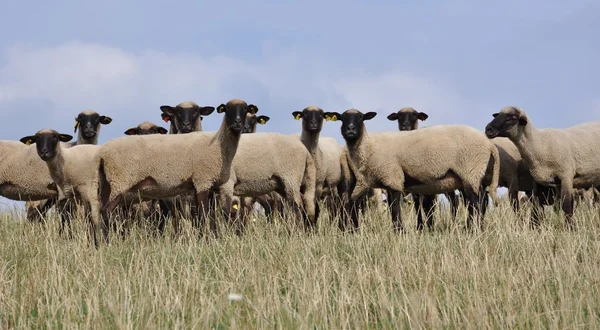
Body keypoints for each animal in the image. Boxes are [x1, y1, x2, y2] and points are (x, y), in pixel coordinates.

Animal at [95, 98, 255, 240]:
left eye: (245, 109)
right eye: (227, 109)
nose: (238, 123)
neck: (218, 144)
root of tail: (103, 153)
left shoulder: (204, 187)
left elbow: (207, 216)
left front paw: (210, 238)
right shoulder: (202, 181)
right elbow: (203, 215)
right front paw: (206, 240)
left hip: (108, 184)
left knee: (99, 210)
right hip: (120, 182)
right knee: (106, 211)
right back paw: (107, 241)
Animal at [326, 109, 500, 231]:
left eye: (361, 118)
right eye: (341, 118)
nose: (350, 129)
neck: (368, 147)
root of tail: (489, 144)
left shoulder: (393, 177)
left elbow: (395, 208)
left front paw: (399, 231)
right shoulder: (376, 182)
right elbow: (358, 204)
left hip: (470, 170)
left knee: (476, 203)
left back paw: (474, 229)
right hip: (469, 175)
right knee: (477, 202)